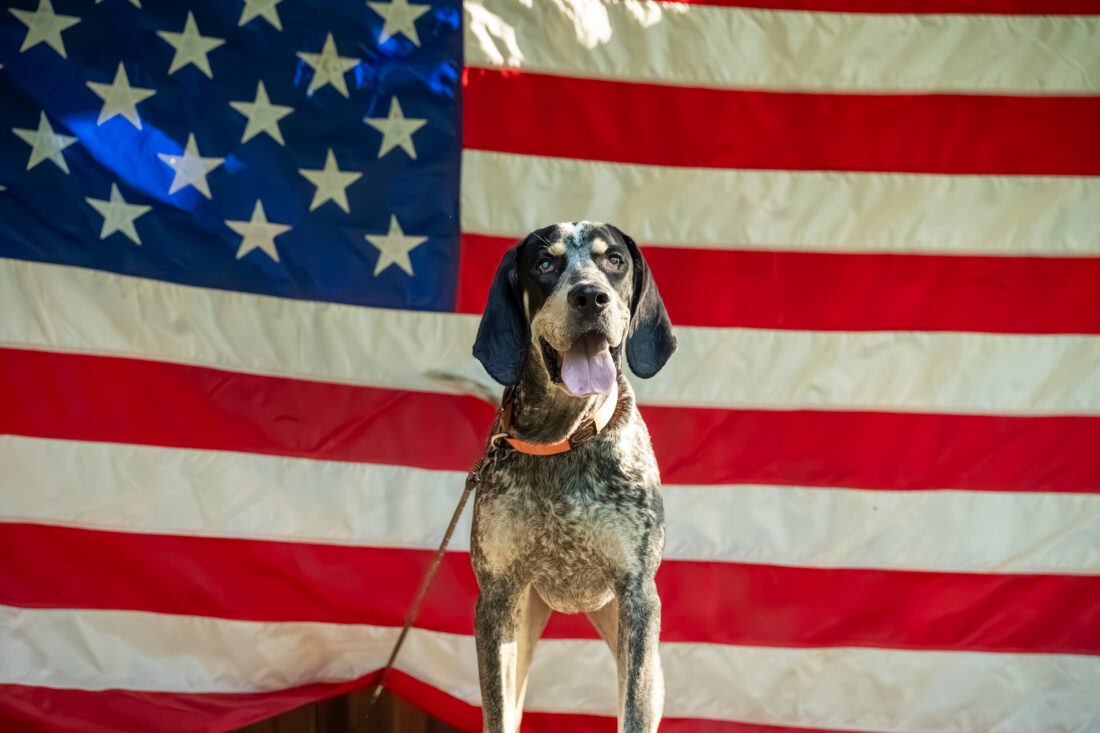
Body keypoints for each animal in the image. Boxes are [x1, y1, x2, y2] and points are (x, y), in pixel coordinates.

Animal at [468, 220, 673, 726]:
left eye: (614, 260)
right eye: (545, 264)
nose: (590, 296)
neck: (563, 438)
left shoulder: (639, 599)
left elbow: (632, 714)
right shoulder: (494, 599)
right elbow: (496, 715)